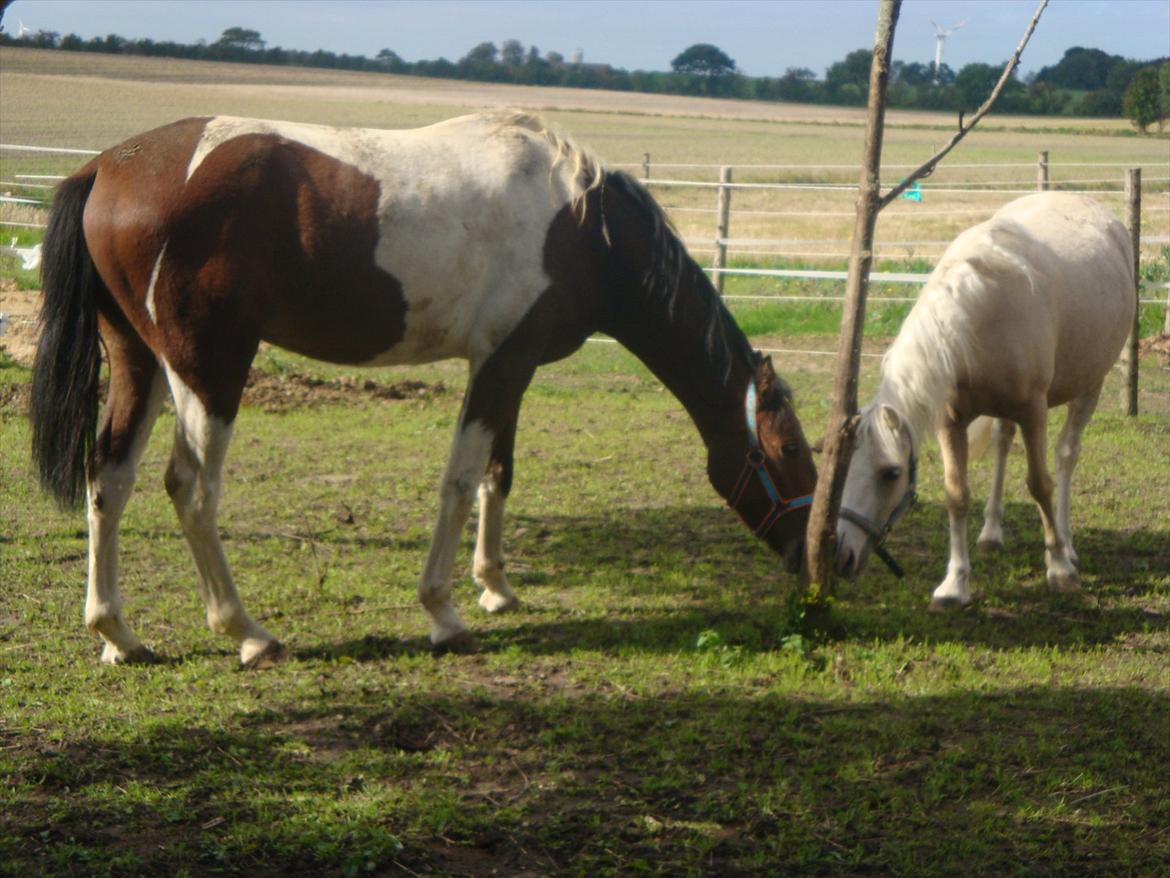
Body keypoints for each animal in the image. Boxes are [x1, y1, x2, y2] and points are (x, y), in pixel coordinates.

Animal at [29, 115, 814, 664]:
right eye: (787, 458)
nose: (811, 568)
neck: (585, 227)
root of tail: (104, 169)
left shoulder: (509, 366)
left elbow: (498, 474)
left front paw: (495, 586)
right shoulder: (499, 365)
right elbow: (460, 483)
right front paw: (444, 612)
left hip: (141, 363)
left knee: (109, 478)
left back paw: (118, 634)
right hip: (208, 369)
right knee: (190, 488)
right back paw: (248, 633)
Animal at [837, 190, 1137, 613]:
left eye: (891, 473)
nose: (841, 554)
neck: (977, 317)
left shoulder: (1033, 413)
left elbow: (1039, 484)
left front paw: (1059, 568)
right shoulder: (950, 422)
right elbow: (956, 494)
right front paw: (954, 584)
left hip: (1088, 386)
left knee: (1066, 455)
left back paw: (1067, 544)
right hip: (1006, 411)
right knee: (1002, 443)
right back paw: (992, 532)